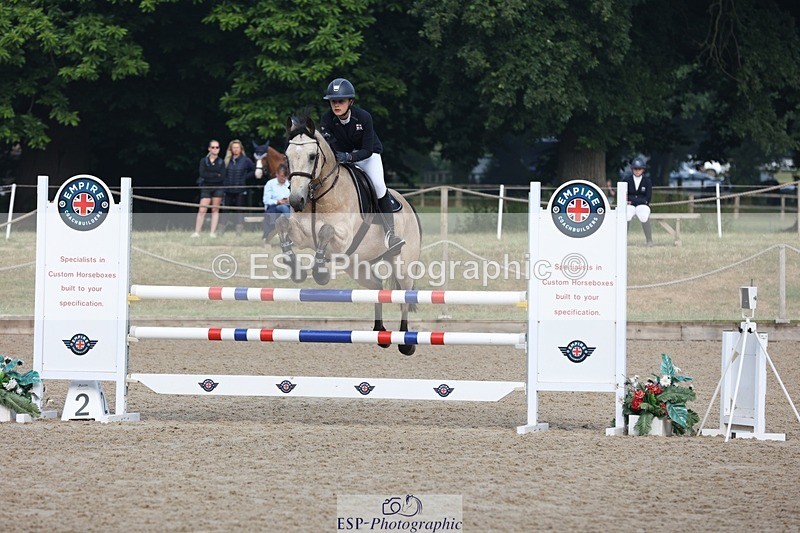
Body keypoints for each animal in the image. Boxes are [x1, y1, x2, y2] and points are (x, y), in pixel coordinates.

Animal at [276, 116, 423, 355]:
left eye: (312, 156)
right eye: (287, 156)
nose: (296, 200)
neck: (318, 196)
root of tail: (408, 205)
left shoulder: (342, 239)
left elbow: (325, 231)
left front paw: (320, 272)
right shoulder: (303, 235)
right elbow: (281, 224)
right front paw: (295, 268)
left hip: (403, 264)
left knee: (404, 296)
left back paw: (406, 343)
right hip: (357, 266)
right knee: (377, 287)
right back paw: (380, 333)